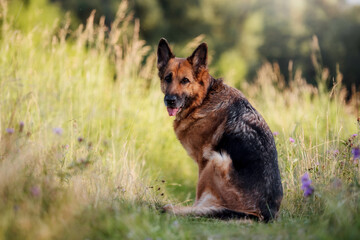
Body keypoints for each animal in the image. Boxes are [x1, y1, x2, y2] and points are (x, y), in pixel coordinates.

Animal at [158, 38, 284, 221]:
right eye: (168, 78)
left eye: (185, 81)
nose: (170, 100)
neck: (204, 98)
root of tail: (264, 214)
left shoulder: (203, 161)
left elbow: (198, 194)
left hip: (217, 159)